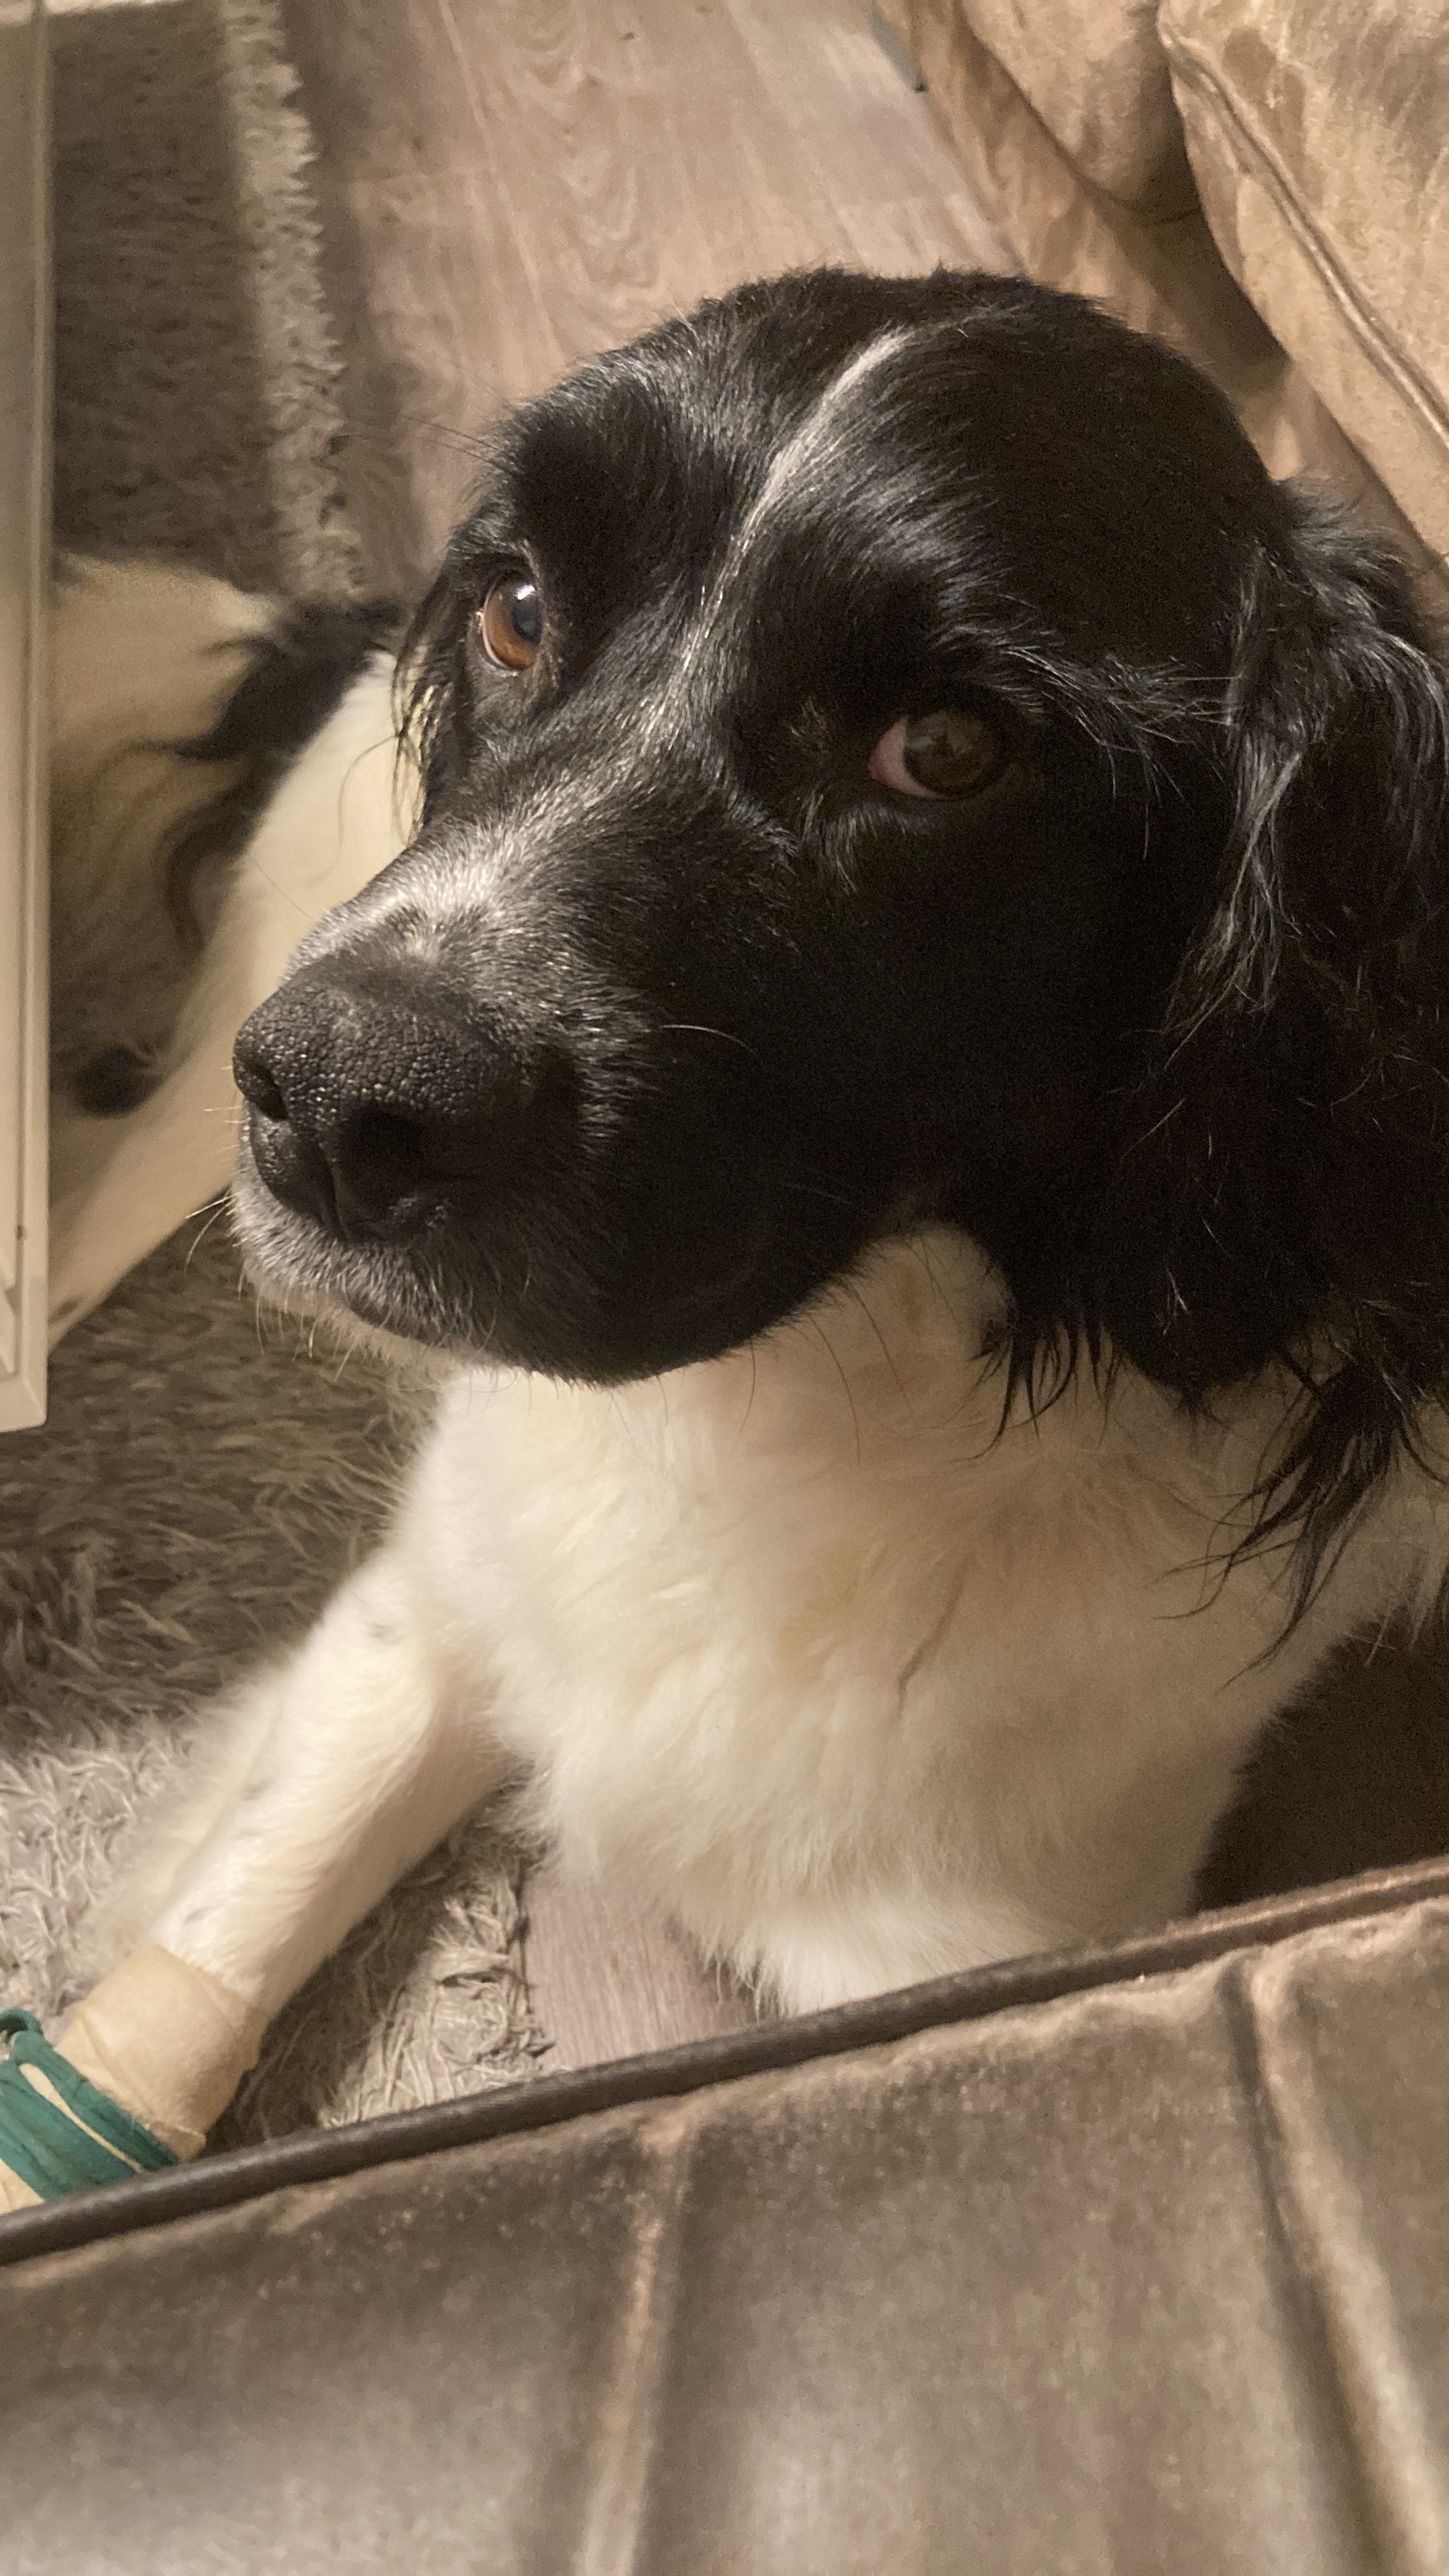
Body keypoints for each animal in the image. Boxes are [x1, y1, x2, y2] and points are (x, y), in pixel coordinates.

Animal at [53, 268, 1449, 2113]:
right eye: (517, 613)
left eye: (947, 749)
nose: (339, 1103)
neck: (790, 1401)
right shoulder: (433, 1606)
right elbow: (218, 1937)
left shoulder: (955, 1956)